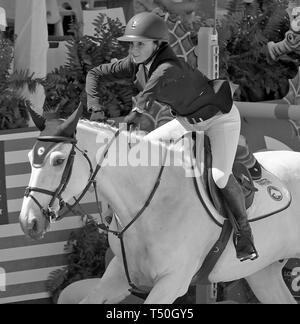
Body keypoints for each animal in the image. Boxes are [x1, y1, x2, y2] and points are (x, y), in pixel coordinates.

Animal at [19, 109, 300, 304]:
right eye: (30, 158)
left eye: (58, 160)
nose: (28, 222)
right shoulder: (119, 274)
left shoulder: (172, 281)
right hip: (263, 272)